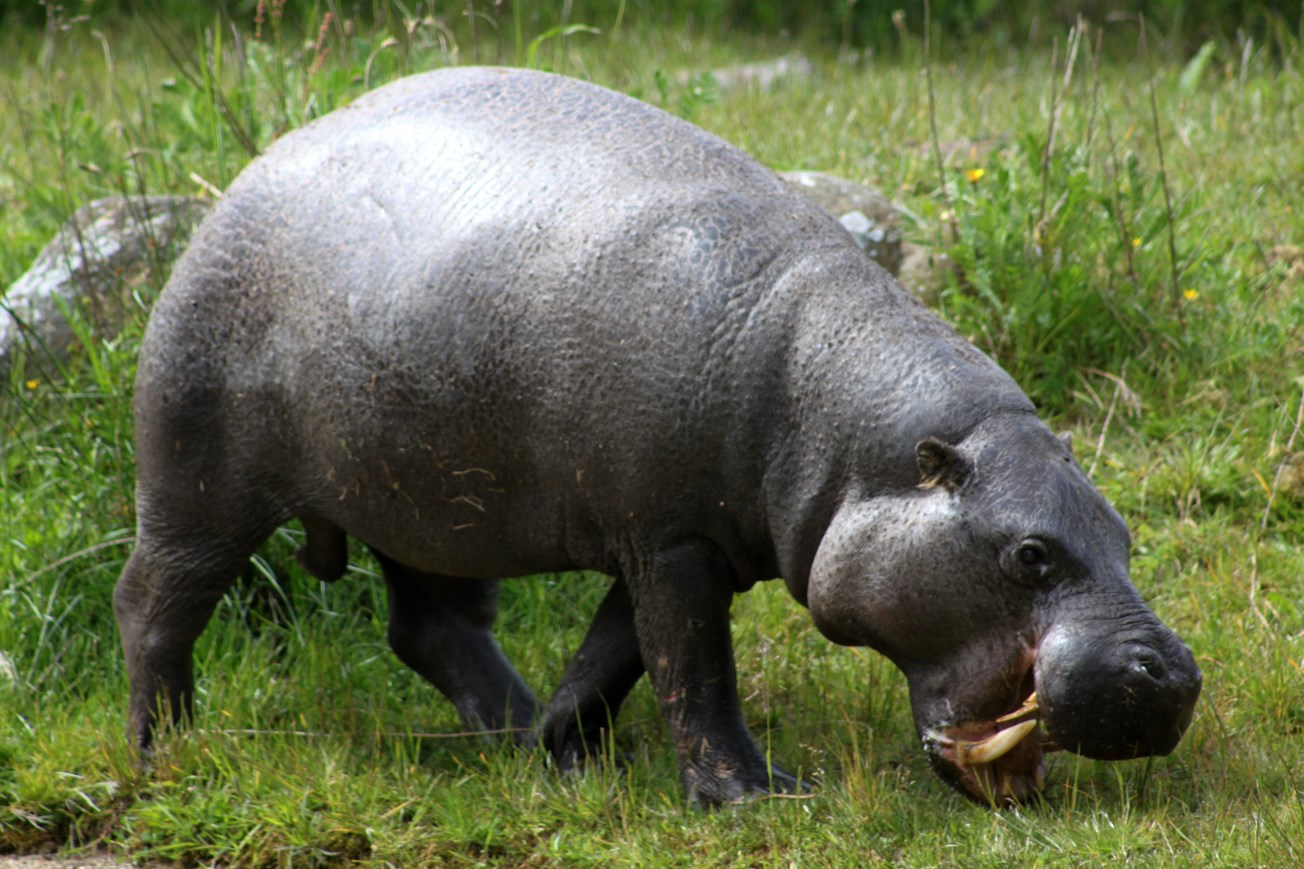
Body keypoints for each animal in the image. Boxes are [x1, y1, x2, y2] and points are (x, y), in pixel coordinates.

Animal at [113, 66, 1201, 806]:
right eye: (1029, 553)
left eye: (1122, 534)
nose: (1173, 675)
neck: (846, 426)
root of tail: (253, 168)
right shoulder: (672, 542)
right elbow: (693, 666)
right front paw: (753, 796)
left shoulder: (677, 536)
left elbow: (619, 652)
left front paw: (563, 750)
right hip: (200, 482)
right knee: (155, 605)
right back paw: (165, 752)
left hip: (416, 492)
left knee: (429, 623)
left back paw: (508, 735)